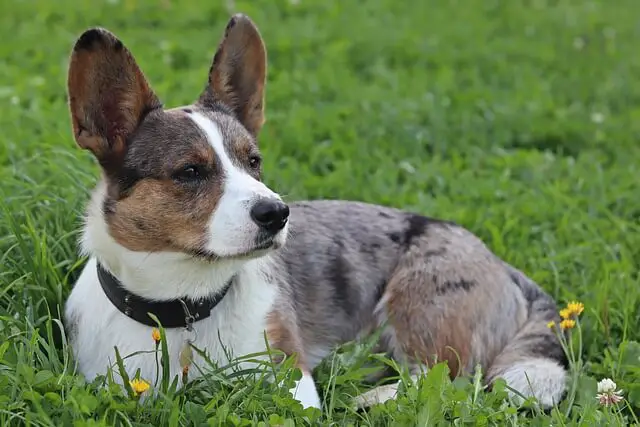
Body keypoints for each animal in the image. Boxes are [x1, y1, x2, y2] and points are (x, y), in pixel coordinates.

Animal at [63, 14, 564, 412]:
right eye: (189, 171)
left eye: (254, 161)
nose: (277, 214)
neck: (184, 308)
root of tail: (502, 264)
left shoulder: (289, 377)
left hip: (418, 301)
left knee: (445, 378)